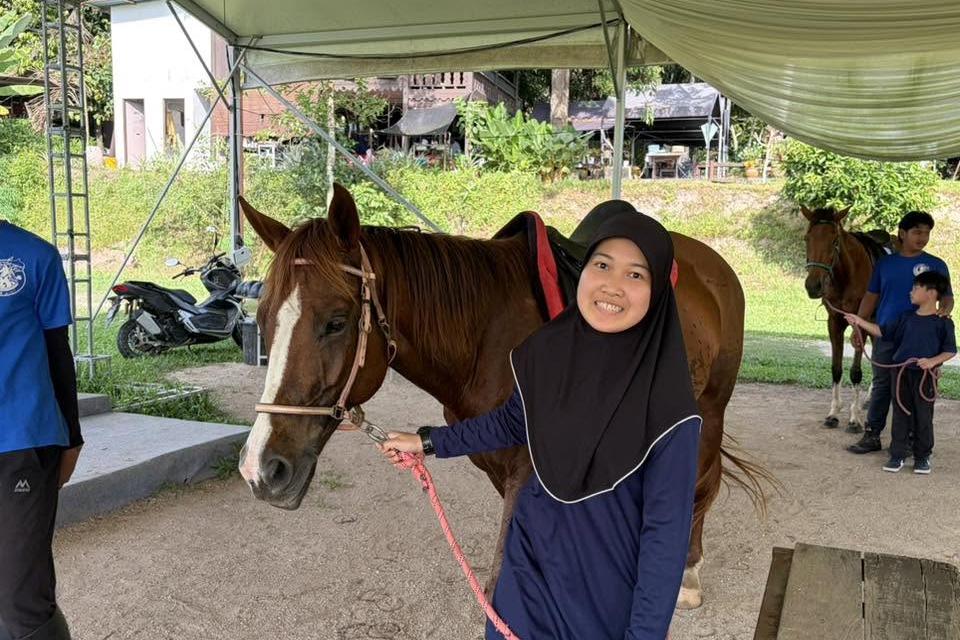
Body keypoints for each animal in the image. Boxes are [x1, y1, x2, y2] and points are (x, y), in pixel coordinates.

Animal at [801, 205, 895, 431]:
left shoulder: (859, 324)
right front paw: (834, 413)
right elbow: (836, 369)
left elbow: (855, 371)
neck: (846, 276)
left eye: (834, 240)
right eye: (807, 238)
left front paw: (854, 417)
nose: (813, 286)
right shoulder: (834, 322)